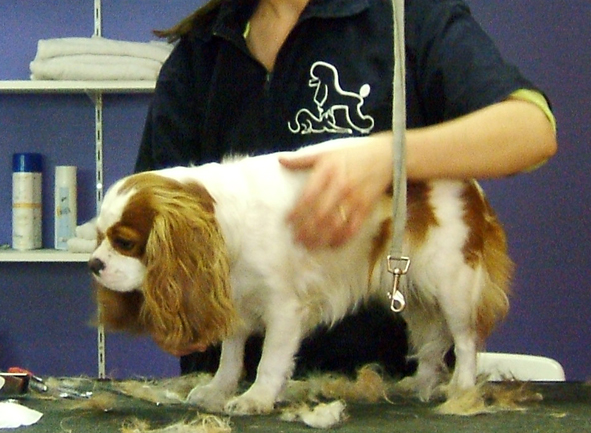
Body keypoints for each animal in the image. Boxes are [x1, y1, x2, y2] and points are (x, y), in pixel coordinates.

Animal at [89, 139, 512, 416]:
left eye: (124, 242)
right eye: (99, 237)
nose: (94, 264)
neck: (222, 224)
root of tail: (473, 188)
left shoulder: (284, 309)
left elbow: (269, 360)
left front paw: (256, 398)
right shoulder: (233, 300)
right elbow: (230, 356)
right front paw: (217, 390)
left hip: (453, 283)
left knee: (464, 339)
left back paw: (462, 389)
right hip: (409, 287)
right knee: (432, 341)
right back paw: (422, 382)